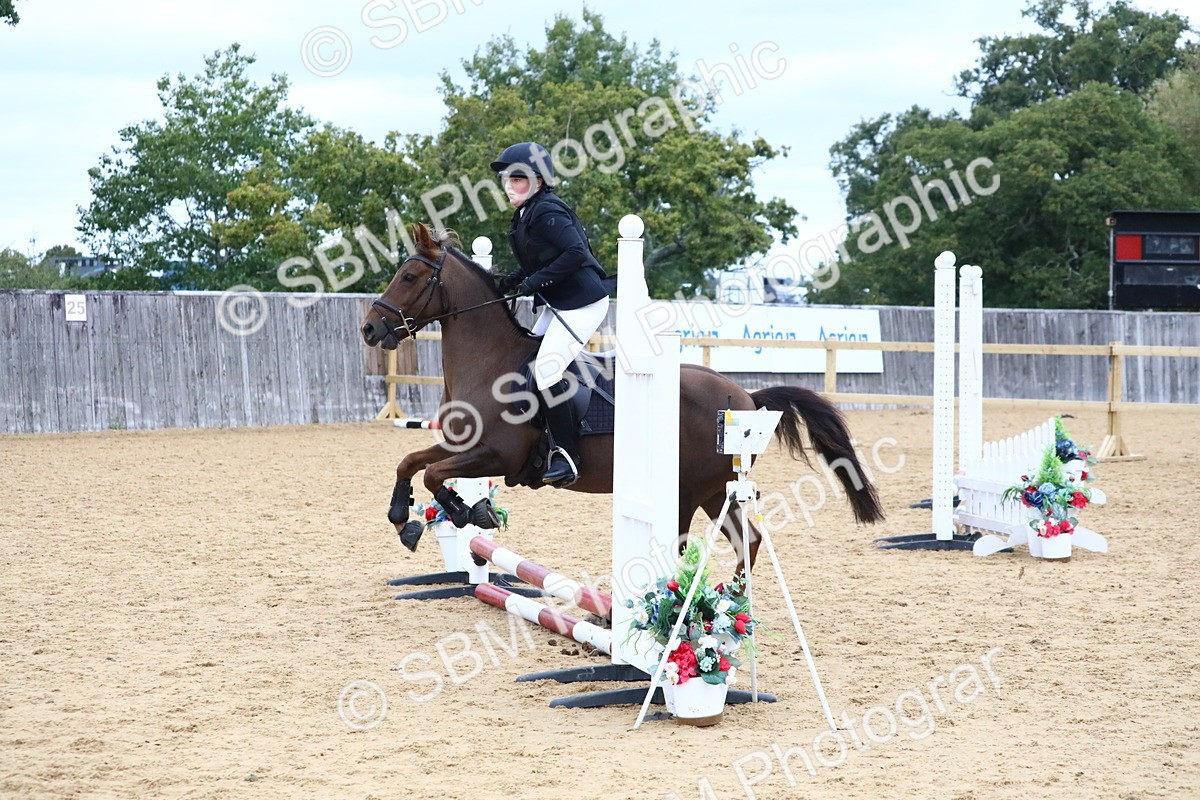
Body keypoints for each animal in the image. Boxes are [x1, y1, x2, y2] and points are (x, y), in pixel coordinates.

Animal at [360, 223, 884, 574]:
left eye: (410, 277)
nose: (369, 328)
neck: (490, 362)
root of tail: (747, 397)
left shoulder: (496, 454)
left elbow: (435, 476)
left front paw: (471, 511)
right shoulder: (458, 445)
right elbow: (411, 463)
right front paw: (403, 518)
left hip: (688, 492)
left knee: (699, 546)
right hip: (716, 489)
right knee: (747, 540)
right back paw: (730, 603)